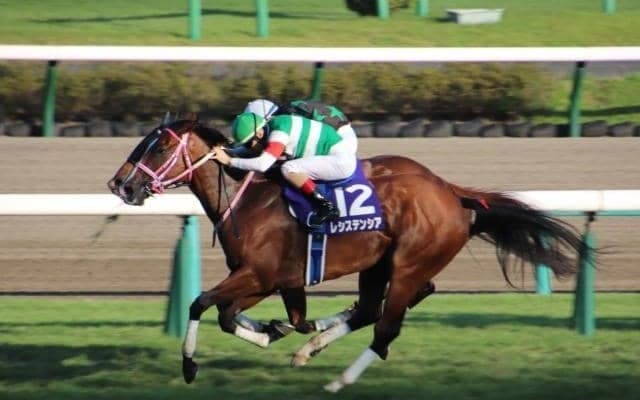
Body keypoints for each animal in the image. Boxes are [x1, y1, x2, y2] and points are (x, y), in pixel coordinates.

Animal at [108, 119, 587, 392]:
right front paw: (277, 330)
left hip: (407, 264)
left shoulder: (259, 274)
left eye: (158, 147)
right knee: (376, 309)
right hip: (381, 264)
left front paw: (190, 366)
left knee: (386, 329)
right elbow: (234, 316)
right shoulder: (270, 279)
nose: (121, 185)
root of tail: (450, 192)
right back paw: (314, 344)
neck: (248, 197)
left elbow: (201, 302)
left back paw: (339, 380)